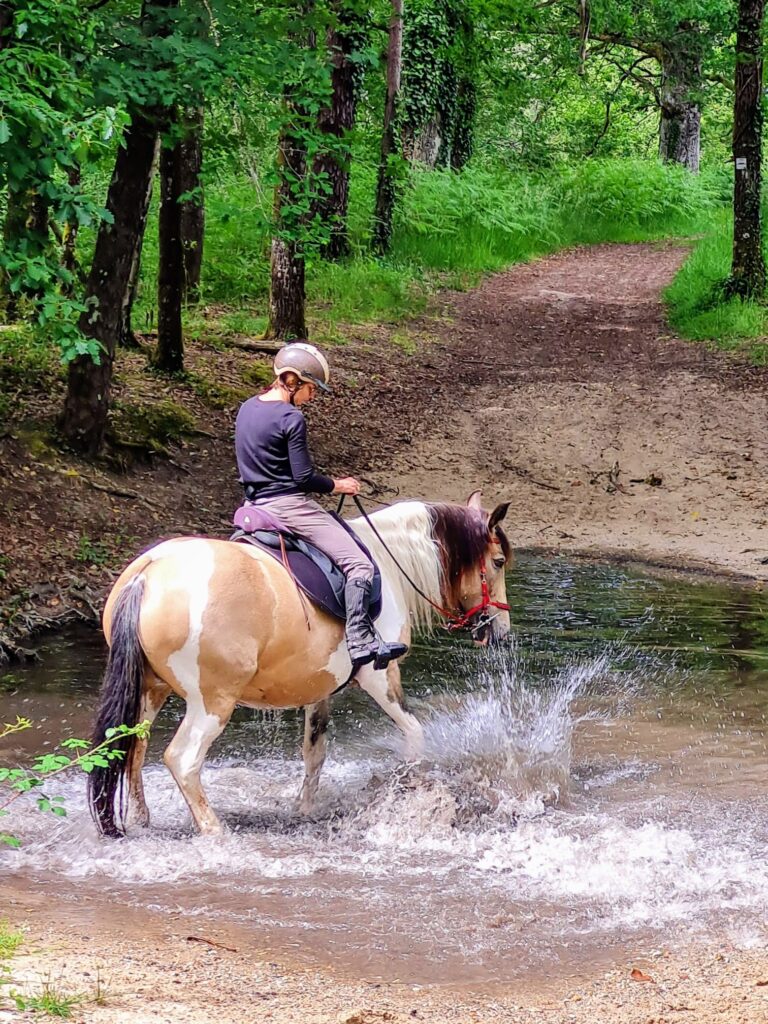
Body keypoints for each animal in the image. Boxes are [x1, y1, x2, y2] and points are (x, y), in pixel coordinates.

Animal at [88, 491, 512, 838]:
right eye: (498, 561)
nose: (501, 631)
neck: (385, 562)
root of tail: (148, 574)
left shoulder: (319, 688)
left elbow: (315, 754)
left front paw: (304, 809)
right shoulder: (379, 676)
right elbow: (414, 734)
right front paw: (412, 792)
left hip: (150, 690)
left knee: (133, 748)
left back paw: (142, 820)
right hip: (211, 701)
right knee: (182, 760)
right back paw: (214, 830)